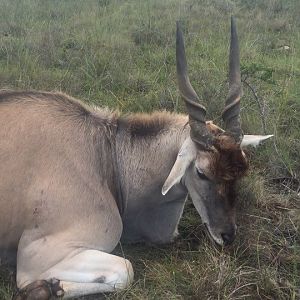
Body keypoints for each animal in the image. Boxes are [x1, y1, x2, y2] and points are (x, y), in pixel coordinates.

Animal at [0, 17, 272, 298]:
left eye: (242, 170)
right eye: (201, 172)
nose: (227, 235)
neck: (106, 155)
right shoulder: (35, 258)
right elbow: (126, 269)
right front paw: (45, 289)